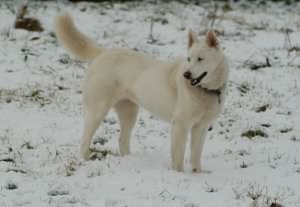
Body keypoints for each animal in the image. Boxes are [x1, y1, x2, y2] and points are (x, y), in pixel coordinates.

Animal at [54, 12, 227, 172]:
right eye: (189, 59)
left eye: (200, 59)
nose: (186, 75)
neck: (205, 91)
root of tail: (103, 52)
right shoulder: (180, 125)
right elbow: (178, 156)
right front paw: (179, 174)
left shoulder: (201, 127)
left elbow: (196, 154)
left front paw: (198, 173)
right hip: (97, 111)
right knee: (85, 138)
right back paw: (84, 160)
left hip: (129, 113)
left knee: (122, 140)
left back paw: (128, 160)